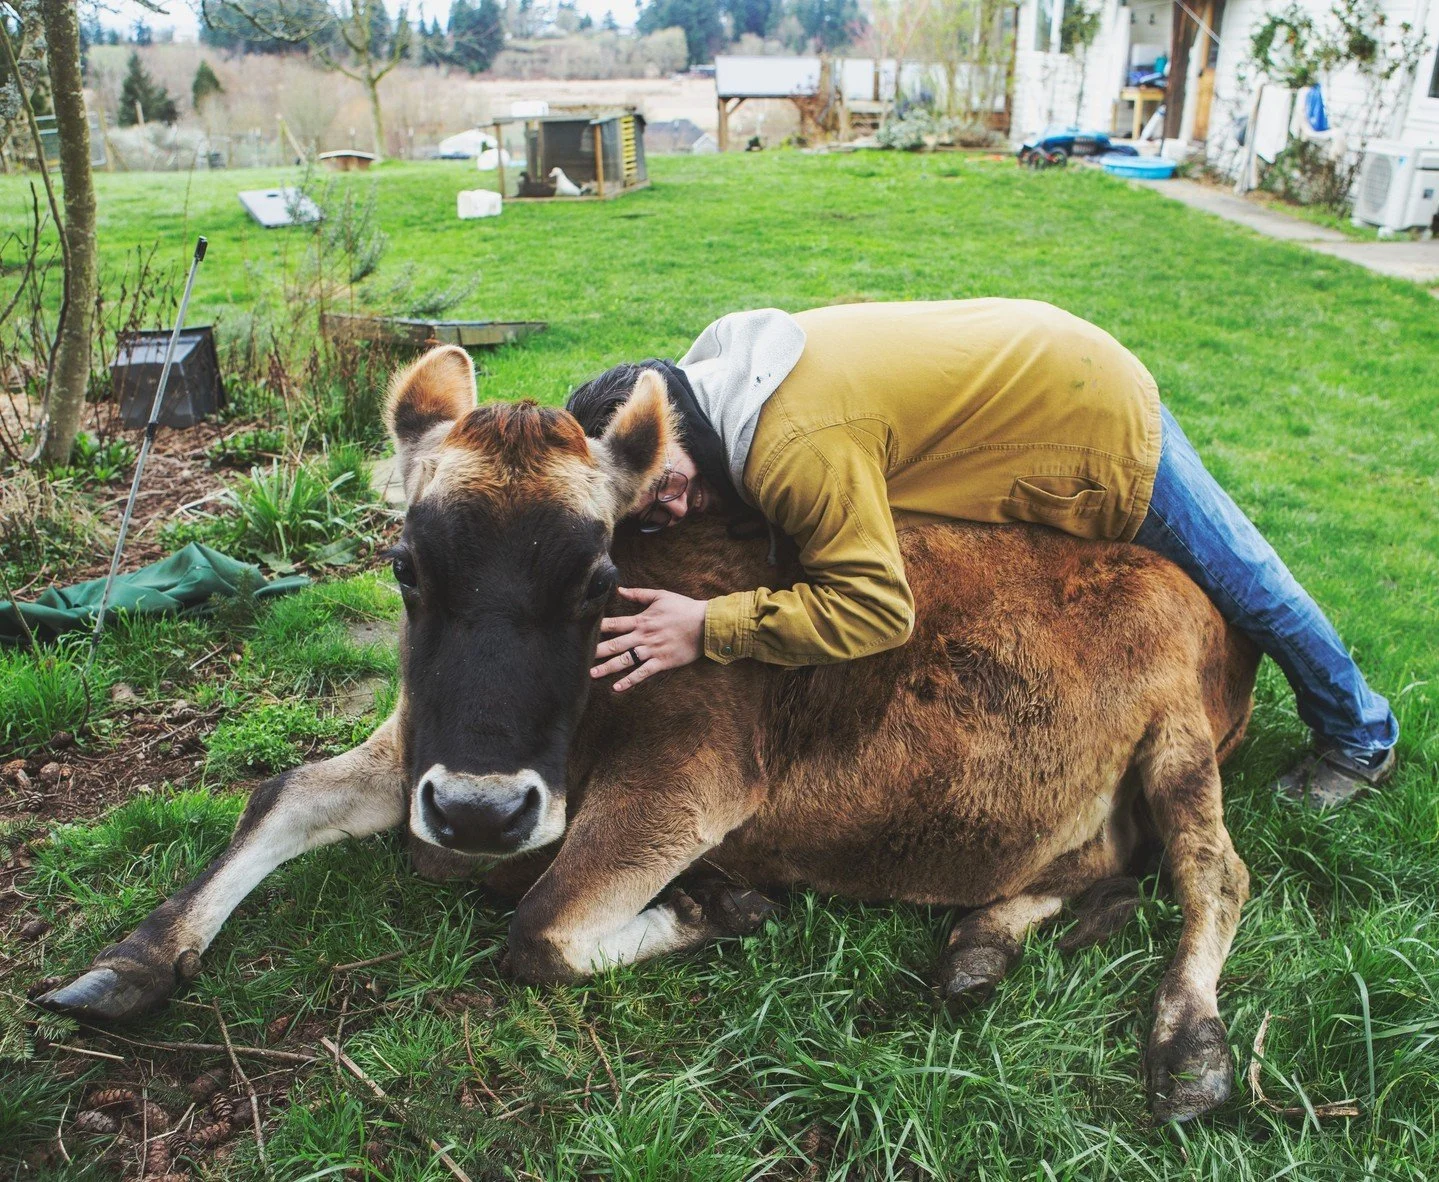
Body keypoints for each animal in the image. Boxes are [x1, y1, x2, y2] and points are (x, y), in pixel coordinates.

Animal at [41, 347, 1260, 1123]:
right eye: (404, 567)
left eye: (596, 580)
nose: (482, 814)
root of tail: (1201, 602)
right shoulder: (423, 750)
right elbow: (282, 792)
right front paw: (132, 960)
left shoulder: (688, 787)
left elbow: (537, 929)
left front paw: (714, 906)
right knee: (1095, 866)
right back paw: (981, 942)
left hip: (1179, 747)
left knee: (1212, 873)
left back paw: (1189, 1044)